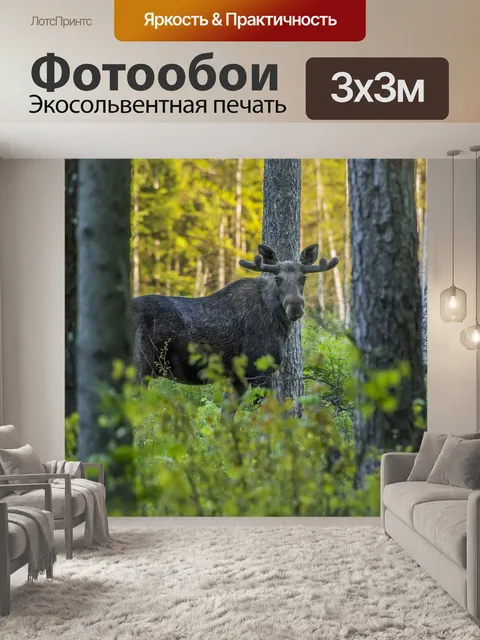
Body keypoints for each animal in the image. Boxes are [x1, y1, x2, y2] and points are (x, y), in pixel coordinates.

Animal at [131, 243, 339, 401]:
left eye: (303, 278)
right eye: (277, 278)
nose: (295, 306)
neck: (280, 324)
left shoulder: (237, 378)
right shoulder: (259, 370)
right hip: (139, 367)